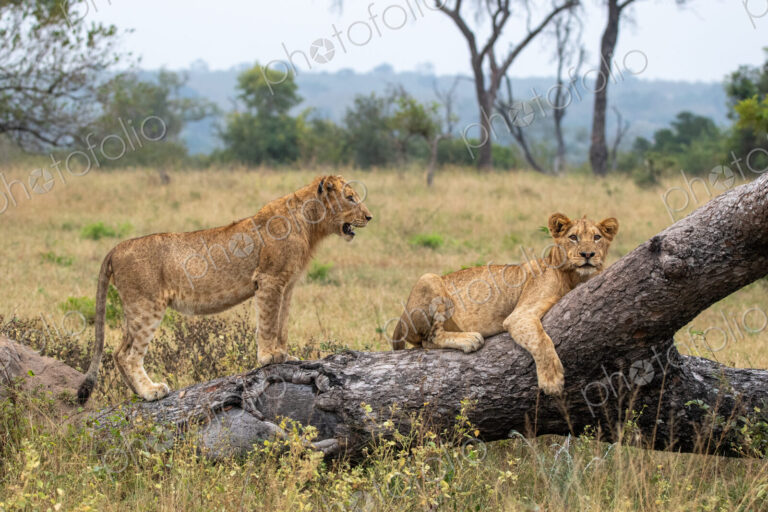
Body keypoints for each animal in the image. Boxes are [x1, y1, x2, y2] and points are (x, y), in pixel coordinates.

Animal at [77, 175, 372, 403]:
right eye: (350, 198)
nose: (369, 217)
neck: (311, 224)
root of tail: (116, 248)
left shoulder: (287, 284)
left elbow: (282, 324)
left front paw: (285, 355)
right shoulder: (269, 280)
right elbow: (268, 322)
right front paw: (268, 357)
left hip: (137, 307)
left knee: (119, 353)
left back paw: (138, 394)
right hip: (147, 306)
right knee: (128, 355)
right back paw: (151, 392)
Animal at [391, 213, 618, 395]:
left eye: (597, 237)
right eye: (573, 237)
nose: (588, 254)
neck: (575, 278)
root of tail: (400, 322)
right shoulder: (520, 315)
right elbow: (541, 340)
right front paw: (552, 381)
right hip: (429, 279)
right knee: (429, 339)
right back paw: (469, 339)